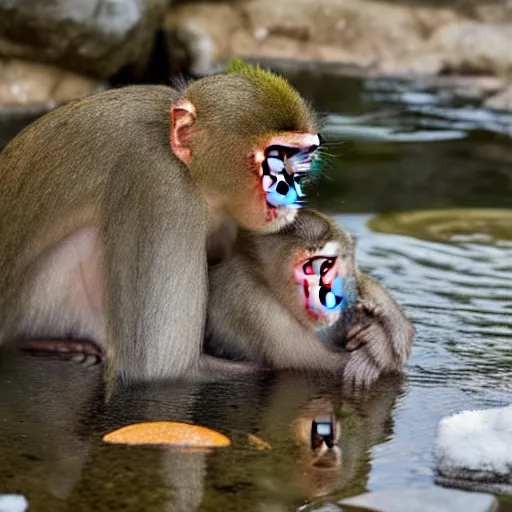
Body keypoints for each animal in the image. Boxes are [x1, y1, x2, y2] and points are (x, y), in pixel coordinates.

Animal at [203, 208, 412, 388]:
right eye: (308, 268)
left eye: (328, 265)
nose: (324, 290)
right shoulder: (255, 304)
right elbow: (312, 365)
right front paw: (378, 343)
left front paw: (389, 318)